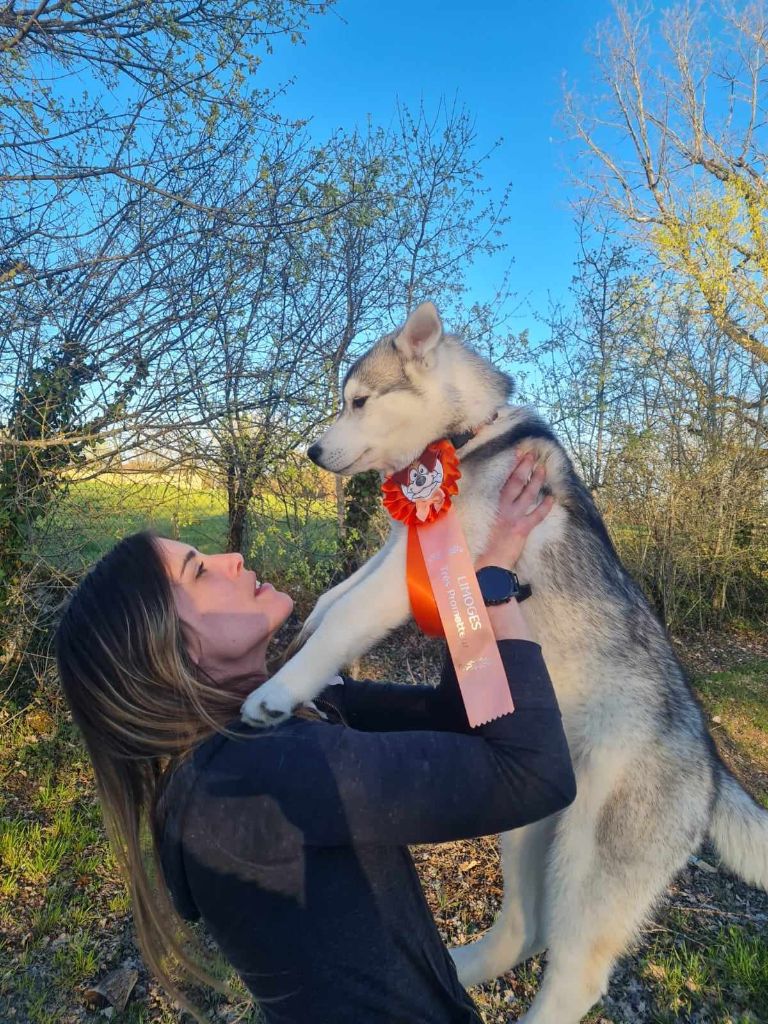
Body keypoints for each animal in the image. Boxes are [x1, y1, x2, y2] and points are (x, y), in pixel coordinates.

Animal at [242, 301, 768, 1023]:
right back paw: (459, 965)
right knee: (523, 929)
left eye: (359, 401)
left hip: (590, 865)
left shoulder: (426, 566)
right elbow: (334, 598)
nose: (313, 453)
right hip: (529, 828)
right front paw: (305, 651)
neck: (467, 435)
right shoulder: (401, 552)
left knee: (576, 975)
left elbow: (348, 616)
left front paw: (277, 690)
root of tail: (713, 767)